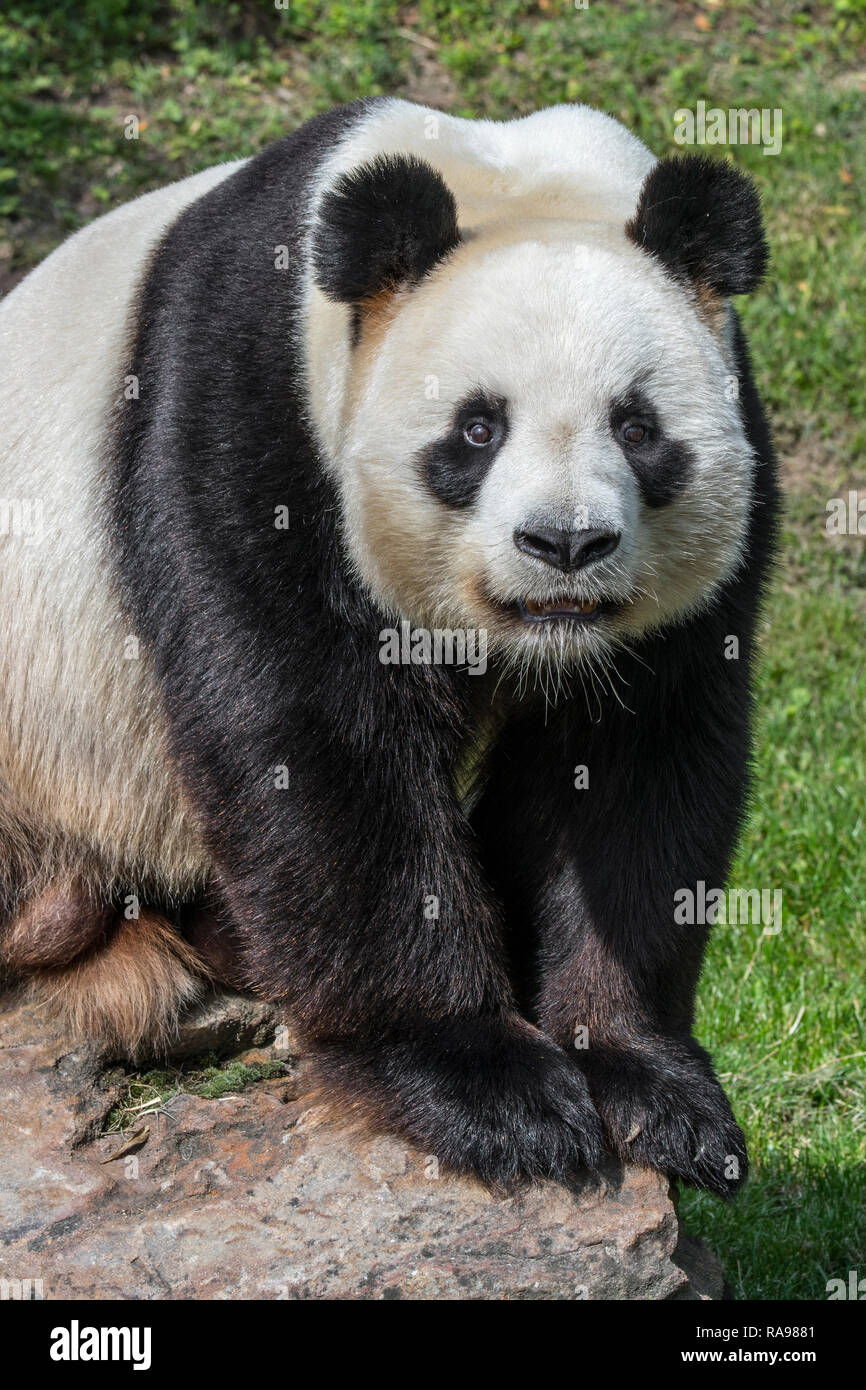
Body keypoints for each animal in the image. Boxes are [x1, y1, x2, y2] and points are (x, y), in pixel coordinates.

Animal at [0, 97, 778, 1189]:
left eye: (636, 426)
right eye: (477, 428)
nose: (565, 546)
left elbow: (633, 758)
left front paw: (646, 1085)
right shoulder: (249, 407)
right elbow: (312, 736)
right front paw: (486, 1090)